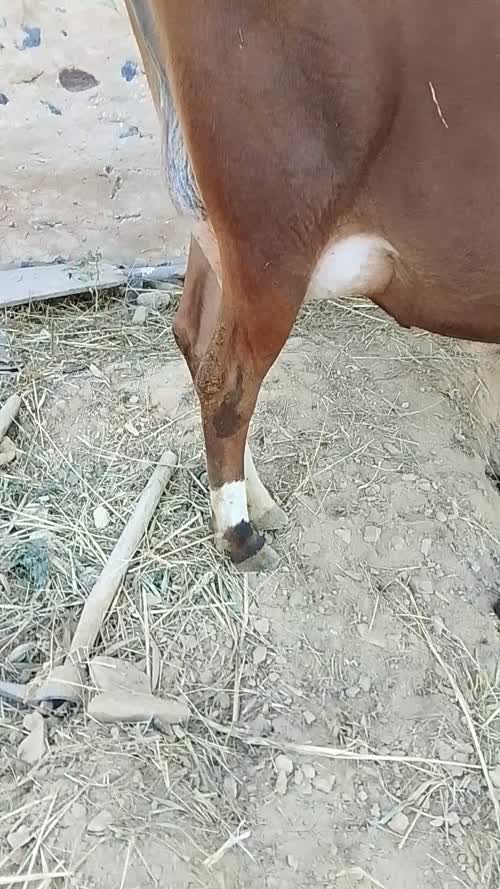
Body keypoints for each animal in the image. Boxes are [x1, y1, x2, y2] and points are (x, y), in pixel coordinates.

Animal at [124, 0, 500, 570]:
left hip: (214, 227)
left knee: (192, 334)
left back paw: (258, 502)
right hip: (273, 233)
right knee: (227, 379)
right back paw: (239, 534)